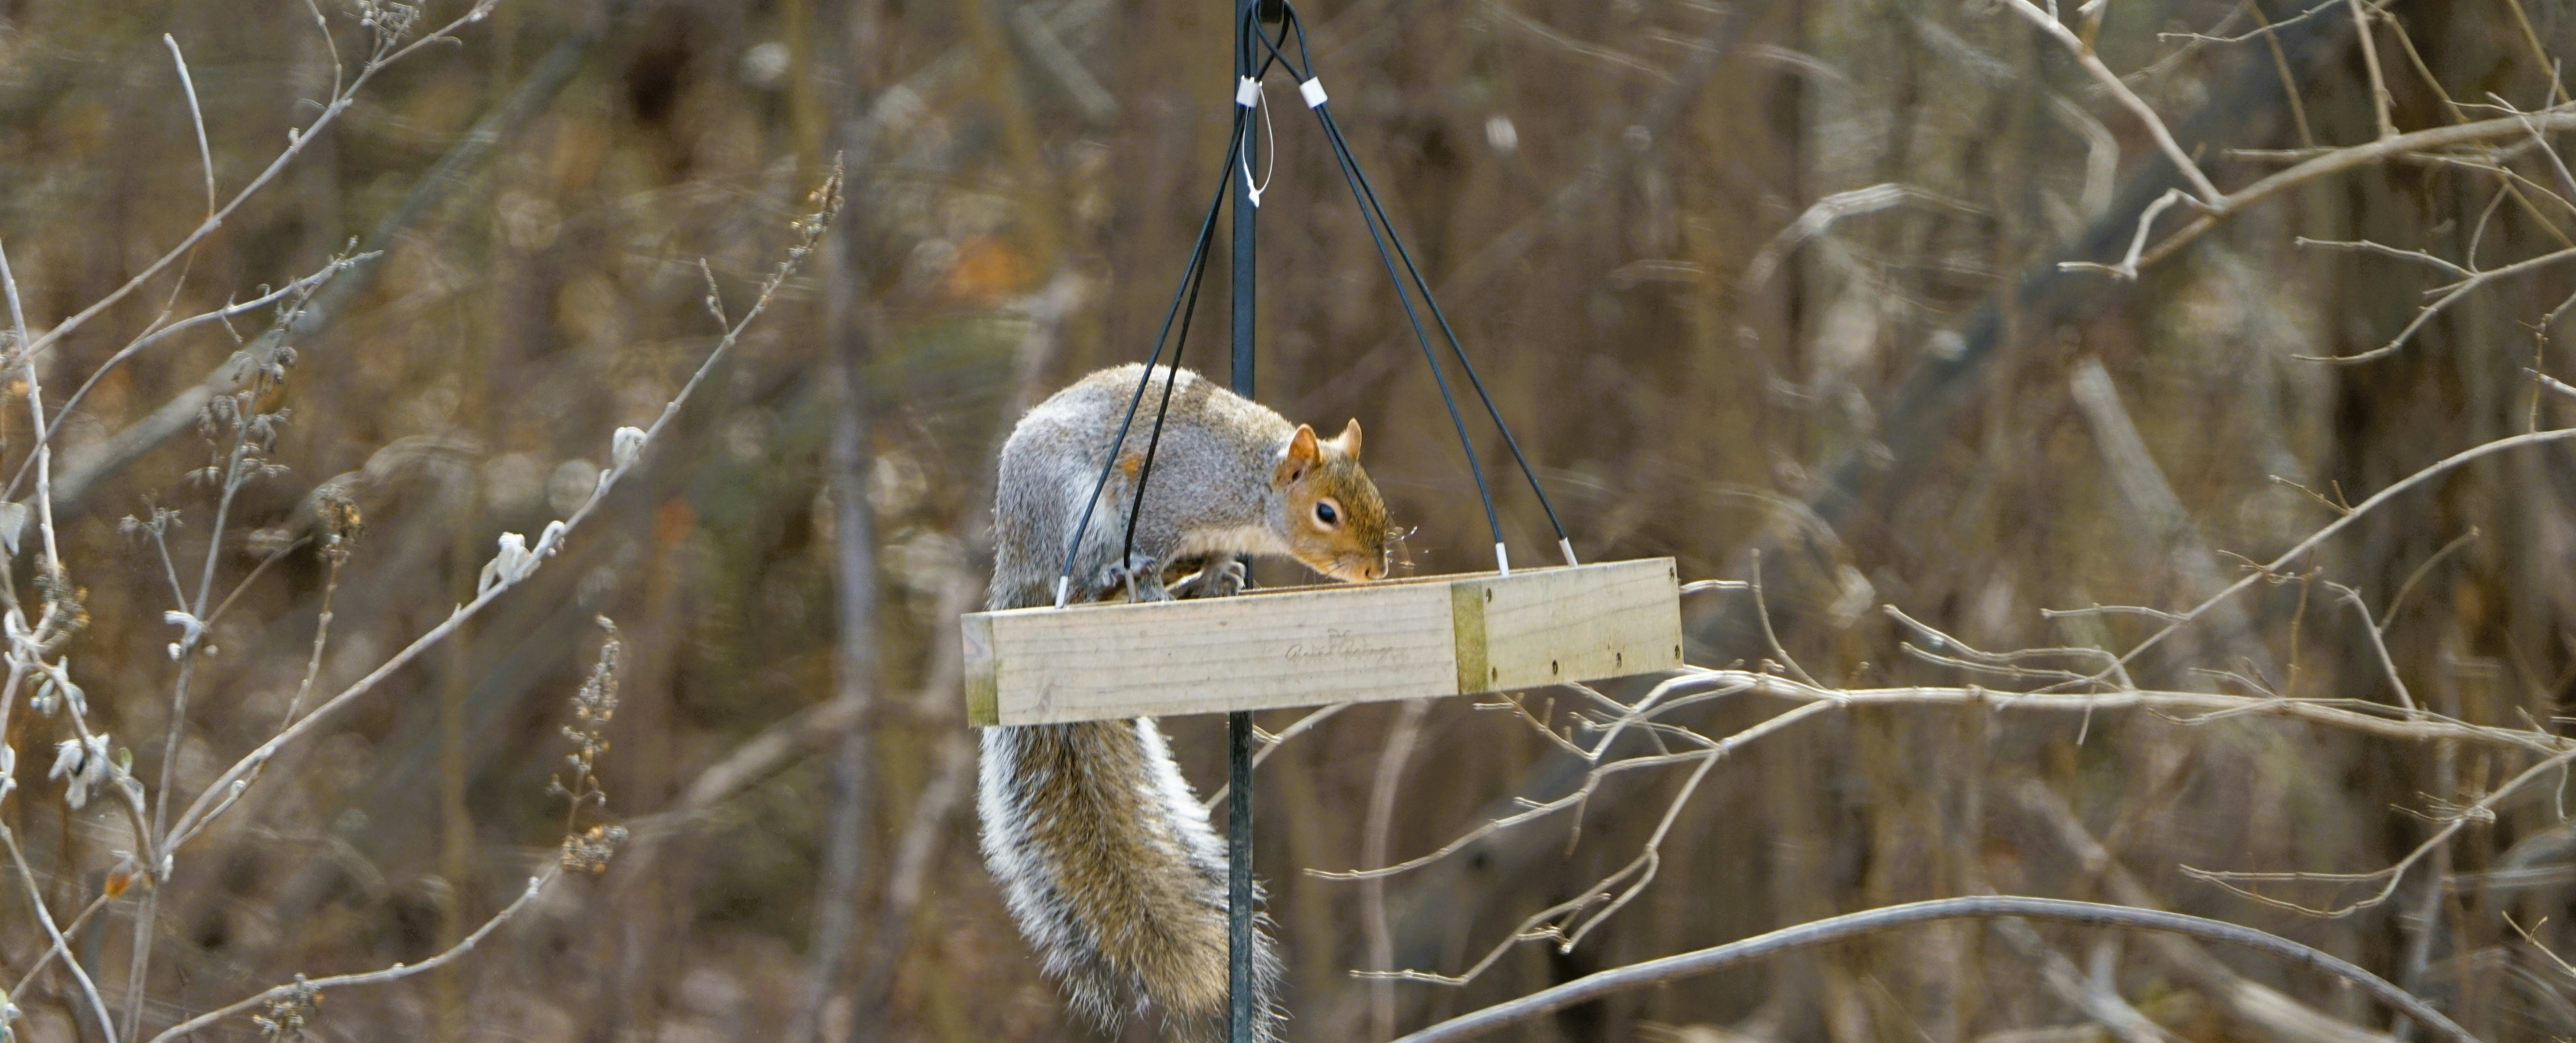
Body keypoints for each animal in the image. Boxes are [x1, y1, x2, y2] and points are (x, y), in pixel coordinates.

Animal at [978, 363, 1392, 1042]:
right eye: (1326, 512)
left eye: (1376, 499)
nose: (1375, 573)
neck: (1250, 484)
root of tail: (1015, 572)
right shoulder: (1166, 496)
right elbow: (1145, 546)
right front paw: (1155, 588)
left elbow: (1220, 555)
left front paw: (1222, 574)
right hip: (1069, 513)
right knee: (1086, 577)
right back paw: (1113, 580)